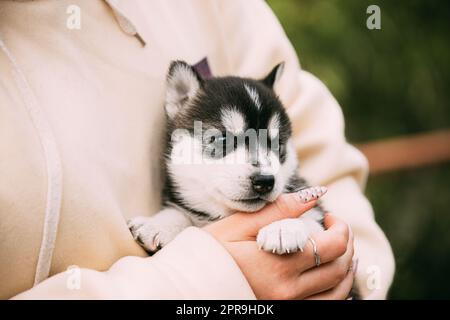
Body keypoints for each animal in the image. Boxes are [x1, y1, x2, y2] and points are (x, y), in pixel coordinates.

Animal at [128, 60, 326, 255]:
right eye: (222, 139)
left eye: (278, 144)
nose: (264, 181)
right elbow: (178, 211)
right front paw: (157, 224)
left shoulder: (319, 217)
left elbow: (310, 220)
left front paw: (283, 226)